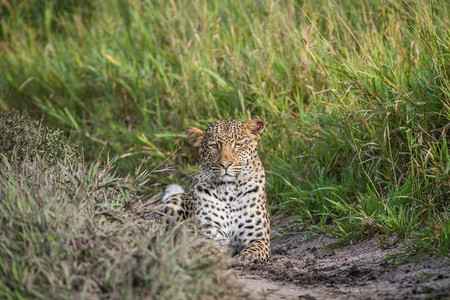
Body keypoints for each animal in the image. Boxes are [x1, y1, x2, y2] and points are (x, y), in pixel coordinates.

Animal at [162, 118, 268, 264]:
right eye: (213, 146)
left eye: (238, 144)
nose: (225, 164)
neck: (229, 191)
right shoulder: (210, 233)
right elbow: (208, 248)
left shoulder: (260, 239)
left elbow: (253, 250)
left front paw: (244, 257)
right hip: (173, 202)